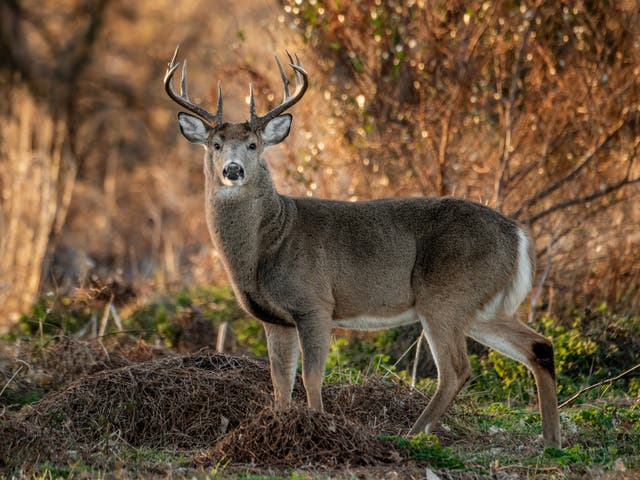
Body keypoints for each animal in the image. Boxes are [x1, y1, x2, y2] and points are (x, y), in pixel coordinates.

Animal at [164, 47, 560, 448]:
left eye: (253, 145)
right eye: (215, 145)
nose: (233, 170)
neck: (269, 242)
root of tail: (517, 234)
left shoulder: (315, 303)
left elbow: (311, 376)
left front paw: (318, 426)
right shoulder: (274, 318)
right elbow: (280, 382)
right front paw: (278, 424)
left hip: (445, 295)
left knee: (456, 369)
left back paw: (411, 434)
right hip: (481, 304)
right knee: (539, 346)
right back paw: (551, 442)